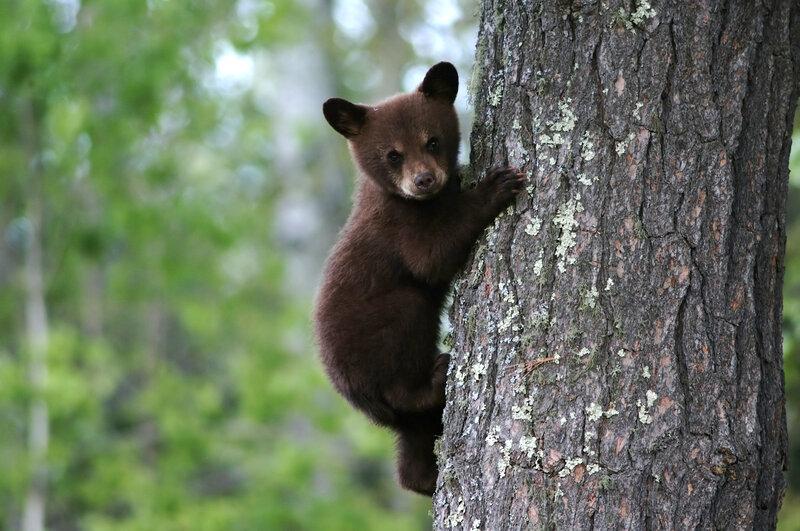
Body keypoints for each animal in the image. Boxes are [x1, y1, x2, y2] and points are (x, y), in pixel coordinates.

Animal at [314, 61, 524, 496]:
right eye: (393, 154)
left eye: (433, 141)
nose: (424, 180)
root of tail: (356, 397)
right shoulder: (398, 227)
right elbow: (432, 257)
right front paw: (495, 186)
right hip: (382, 336)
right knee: (405, 354)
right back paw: (436, 375)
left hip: (404, 423)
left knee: (412, 444)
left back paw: (424, 478)